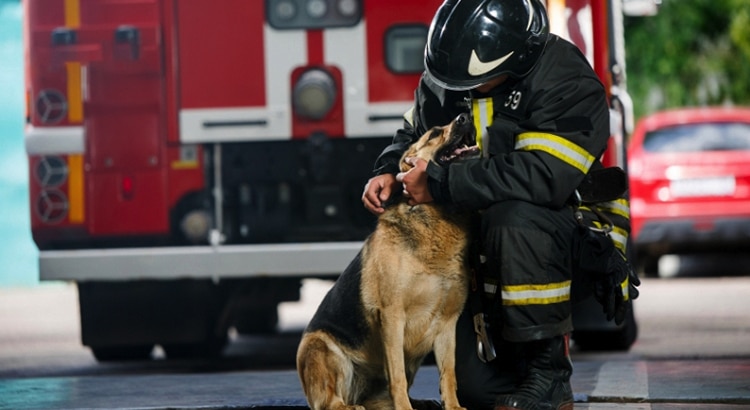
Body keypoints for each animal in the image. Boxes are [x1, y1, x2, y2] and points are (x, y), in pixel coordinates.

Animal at [296, 113, 478, 410]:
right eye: (434, 133)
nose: (465, 116)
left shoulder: (447, 323)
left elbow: (448, 373)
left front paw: (453, 406)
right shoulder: (392, 317)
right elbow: (397, 375)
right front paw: (405, 407)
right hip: (320, 347)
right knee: (331, 402)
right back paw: (353, 406)